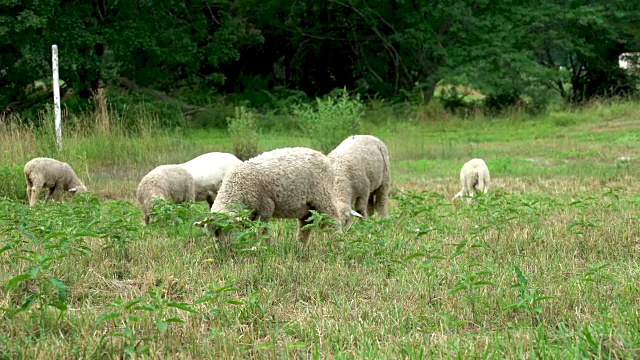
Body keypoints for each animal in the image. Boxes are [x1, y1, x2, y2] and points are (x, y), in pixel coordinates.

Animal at [196, 147, 342, 245]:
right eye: (210, 234)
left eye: (227, 230)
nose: (222, 251)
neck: (237, 186)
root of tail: (323, 156)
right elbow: (262, 231)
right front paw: (266, 246)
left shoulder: (265, 207)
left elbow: (258, 230)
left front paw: (257, 247)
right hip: (307, 207)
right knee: (305, 227)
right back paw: (300, 247)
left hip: (323, 196)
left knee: (334, 220)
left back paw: (338, 244)